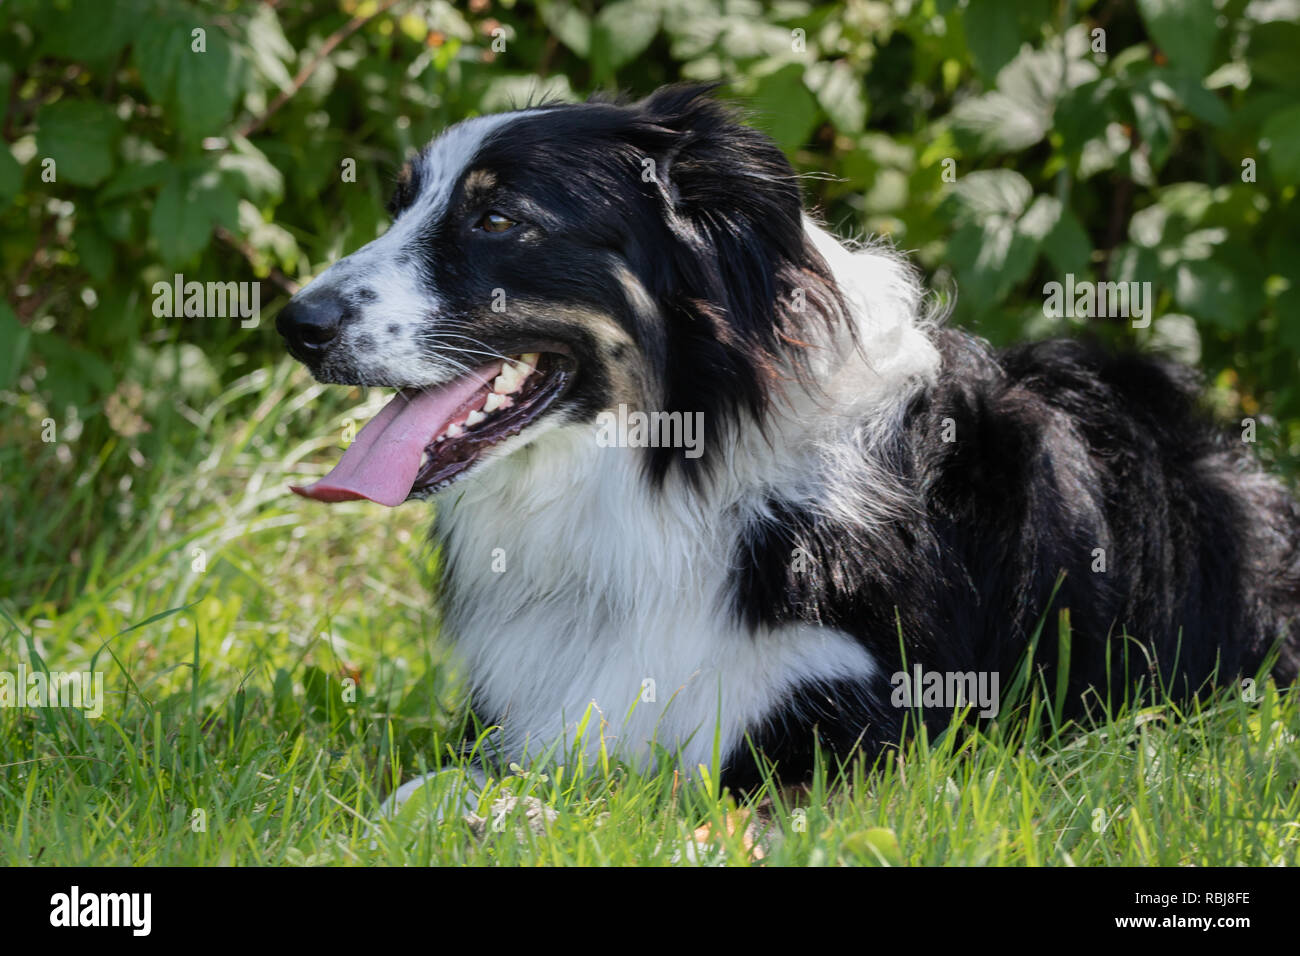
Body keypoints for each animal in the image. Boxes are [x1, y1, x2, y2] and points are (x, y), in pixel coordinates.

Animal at [282, 83, 1300, 801]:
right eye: (401, 207)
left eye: (497, 219)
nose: (296, 323)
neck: (664, 474)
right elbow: (421, 791)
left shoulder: (859, 728)